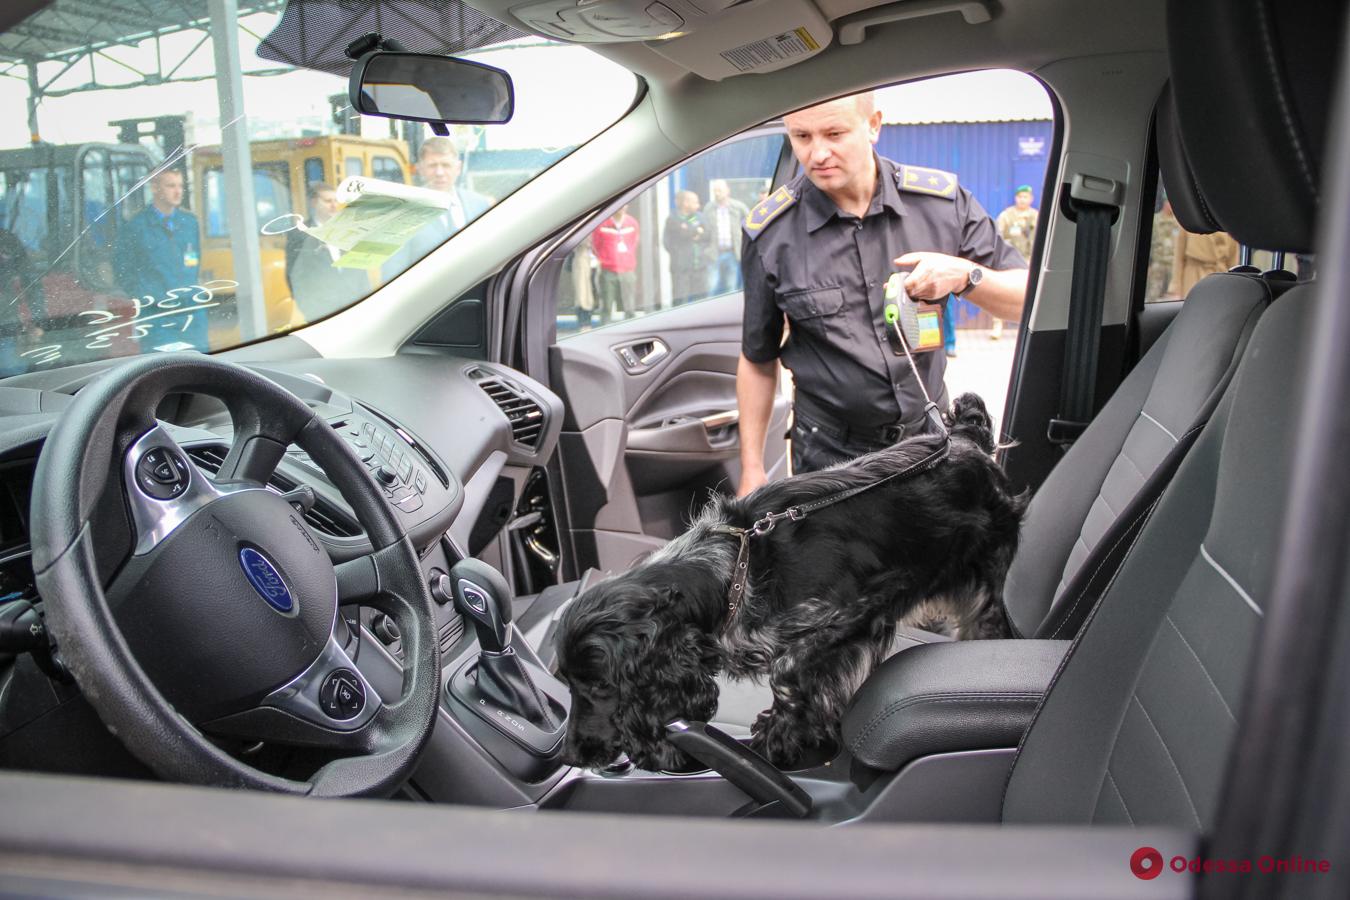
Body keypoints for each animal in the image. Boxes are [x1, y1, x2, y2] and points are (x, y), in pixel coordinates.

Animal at [553, 391, 1015, 771]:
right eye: (567, 682)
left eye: (600, 685)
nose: (570, 755)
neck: (732, 572)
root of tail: (965, 437)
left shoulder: (854, 613)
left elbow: (788, 674)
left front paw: (779, 736)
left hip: (986, 584)